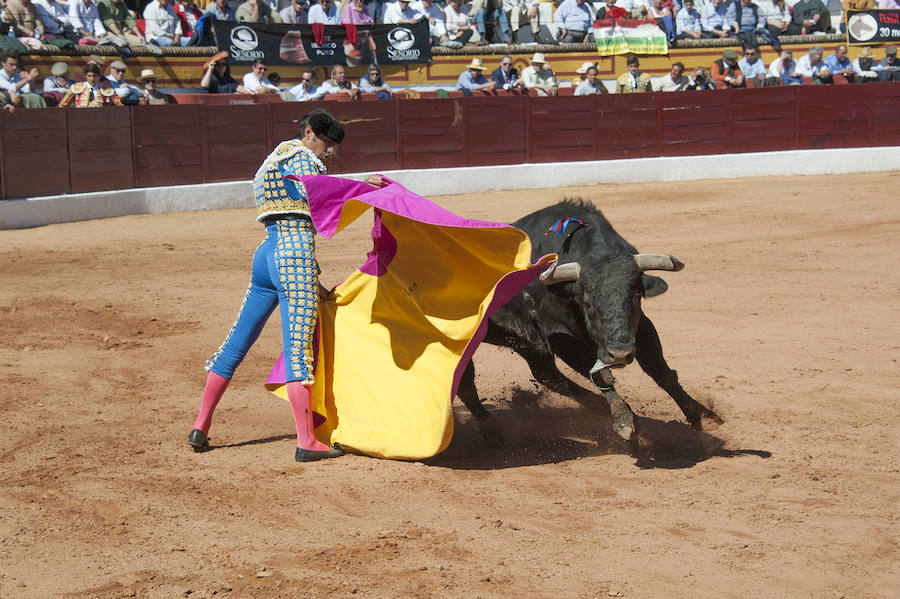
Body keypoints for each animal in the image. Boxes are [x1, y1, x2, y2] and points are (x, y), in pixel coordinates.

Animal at [458, 199, 724, 442]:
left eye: (636, 296)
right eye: (587, 302)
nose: (619, 355)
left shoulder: (641, 327)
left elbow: (658, 368)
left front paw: (702, 416)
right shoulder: (561, 336)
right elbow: (602, 375)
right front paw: (624, 420)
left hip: (526, 343)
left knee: (544, 375)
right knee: (469, 386)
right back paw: (493, 432)